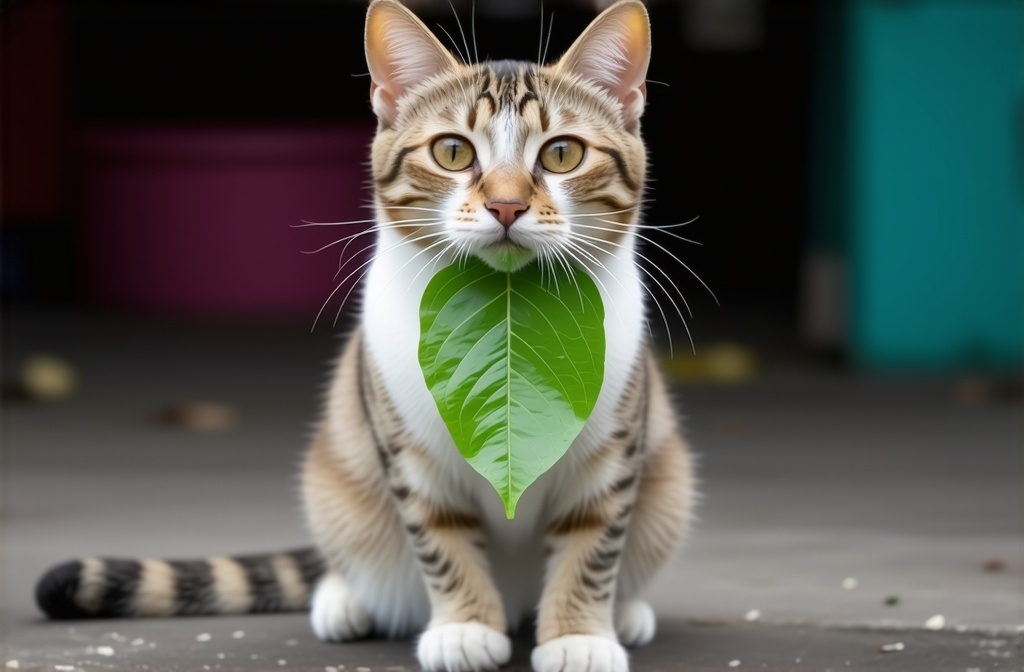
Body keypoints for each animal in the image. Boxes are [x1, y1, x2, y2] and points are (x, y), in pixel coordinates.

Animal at [36, 1, 700, 672]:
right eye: (453, 152)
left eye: (562, 154)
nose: (508, 207)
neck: (505, 311)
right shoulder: (405, 449)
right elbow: (441, 541)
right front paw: (465, 626)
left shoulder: (615, 448)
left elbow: (594, 544)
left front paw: (578, 634)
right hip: (336, 476)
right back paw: (344, 599)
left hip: (667, 482)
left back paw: (625, 612)